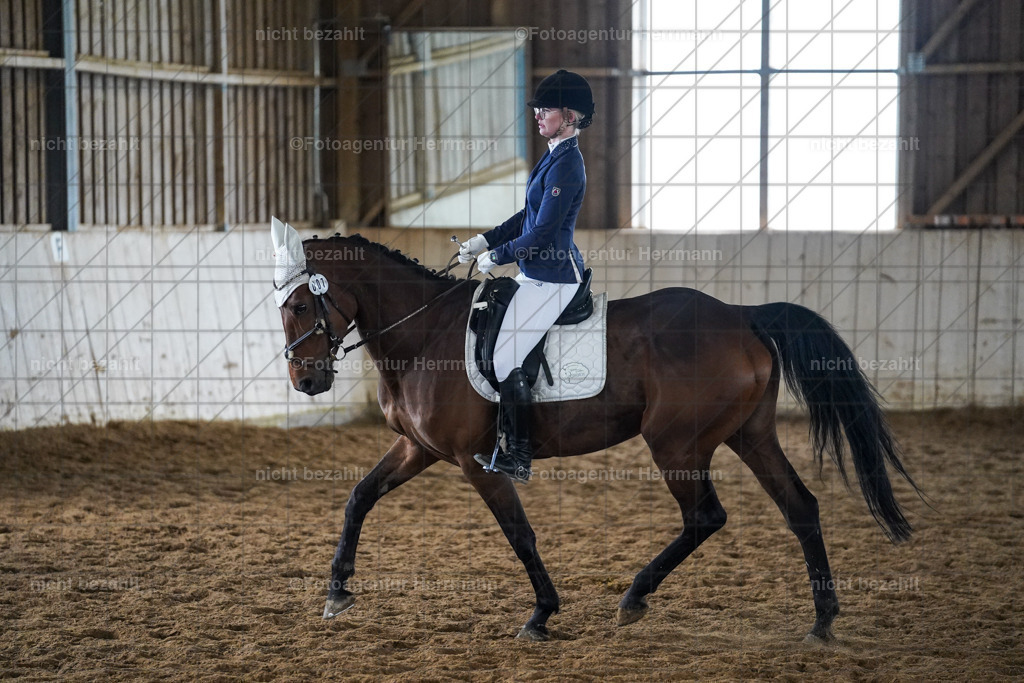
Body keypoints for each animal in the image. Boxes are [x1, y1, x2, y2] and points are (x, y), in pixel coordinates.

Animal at [275, 232, 922, 642]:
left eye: (304, 303)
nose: (306, 381)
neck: (425, 334)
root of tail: (743, 316)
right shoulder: (419, 449)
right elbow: (358, 496)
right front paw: (336, 592)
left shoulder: (476, 462)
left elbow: (520, 533)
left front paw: (541, 615)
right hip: (750, 436)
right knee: (800, 507)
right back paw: (822, 621)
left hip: (676, 445)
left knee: (706, 517)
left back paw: (634, 598)